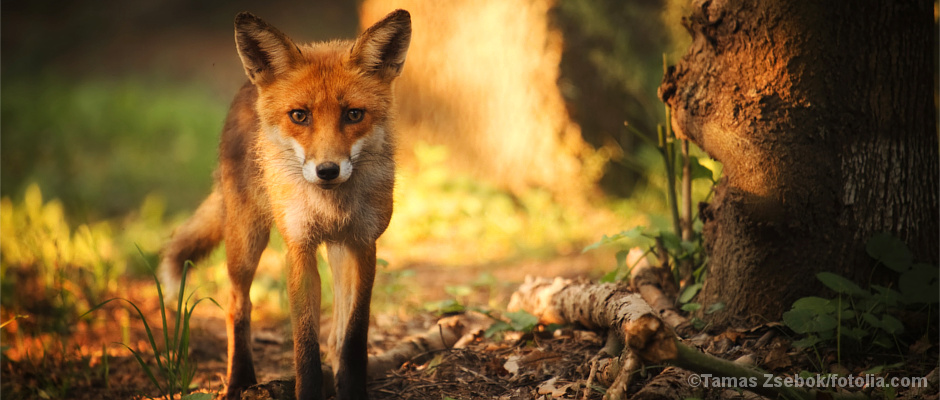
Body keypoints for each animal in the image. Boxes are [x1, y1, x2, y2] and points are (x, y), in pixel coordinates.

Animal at [159, 9, 412, 400]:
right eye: (299, 115)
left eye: (354, 115)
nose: (327, 170)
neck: (330, 206)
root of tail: (249, 87)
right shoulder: (299, 248)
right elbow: (304, 345)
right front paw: (308, 389)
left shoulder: (362, 243)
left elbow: (354, 337)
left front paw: (351, 388)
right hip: (246, 240)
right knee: (237, 306)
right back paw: (239, 380)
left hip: (336, 250)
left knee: (336, 333)